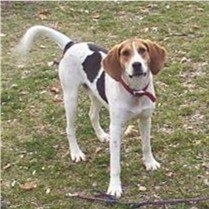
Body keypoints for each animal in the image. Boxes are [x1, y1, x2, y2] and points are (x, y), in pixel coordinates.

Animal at [16, 25, 167, 197]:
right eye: (125, 53)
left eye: (142, 50)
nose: (136, 65)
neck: (136, 91)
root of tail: (71, 44)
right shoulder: (116, 127)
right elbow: (115, 164)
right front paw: (114, 187)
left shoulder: (145, 119)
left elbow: (146, 145)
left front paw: (150, 162)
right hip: (71, 98)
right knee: (70, 129)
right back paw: (76, 153)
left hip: (96, 95)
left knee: (92, 115)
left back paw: (101, 135)